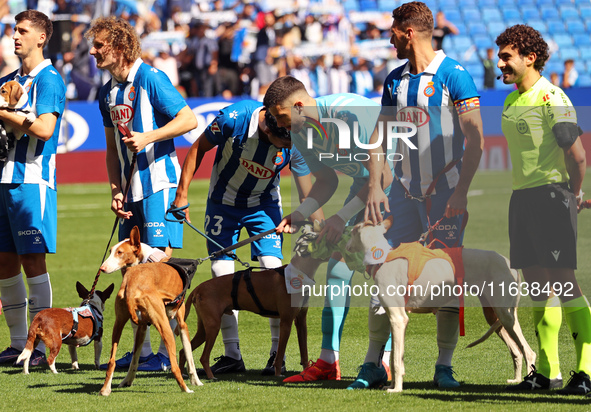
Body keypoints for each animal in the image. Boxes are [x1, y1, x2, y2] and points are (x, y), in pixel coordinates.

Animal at [99, 225, 204, 396]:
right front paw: (197, 381)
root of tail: (131, 283)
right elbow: (189, 356)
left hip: (118, 324)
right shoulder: (182, 324)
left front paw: (127, 381)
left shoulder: (142, 326)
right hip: (165, 326)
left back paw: (105, 389)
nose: (102, 268)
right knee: (174, 367)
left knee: (111, 361)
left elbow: (134, 361)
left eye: (119, 252)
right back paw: (186, 389)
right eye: (111, 251)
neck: (148, 259)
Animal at [346, 216, 536, 392]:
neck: (382, 257)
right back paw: (516, 380)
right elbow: (395, 357)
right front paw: (391, 385)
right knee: (517, 351)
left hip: (504, 314)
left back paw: (529, 382)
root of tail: (511, 264)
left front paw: (396, 390)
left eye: (352, 231)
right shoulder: (394, 319)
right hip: (495, 316)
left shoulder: (399, 319)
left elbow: (396, 361)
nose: (346, 245)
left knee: (529, 352)